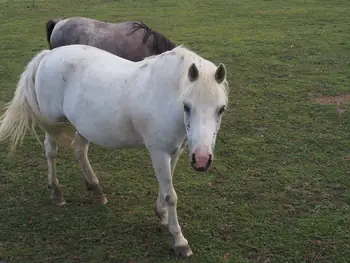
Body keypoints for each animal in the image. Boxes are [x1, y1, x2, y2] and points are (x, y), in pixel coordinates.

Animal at [0, 44, 230, 258]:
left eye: (221, 109)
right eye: (187, 106)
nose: (202, 160)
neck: (166, 97)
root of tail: (48, 54)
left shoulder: (174, 151)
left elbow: (165, 187)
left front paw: (163, 217)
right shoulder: (158, 152)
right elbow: (170, 195)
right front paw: (180, 241)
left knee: (79, 149)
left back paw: (96, 190)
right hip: (53, 122)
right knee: (51, 151)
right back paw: (57, 193)